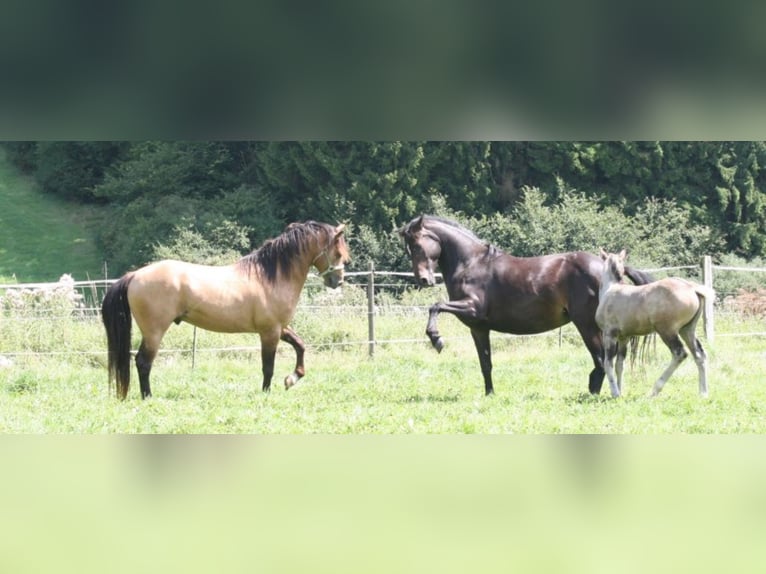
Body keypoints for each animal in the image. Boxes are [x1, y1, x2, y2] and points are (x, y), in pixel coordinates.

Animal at [102, 220, 352, 400]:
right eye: (339, 253)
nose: (337, 281)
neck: (270, 276)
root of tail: (134, 275)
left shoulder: (280, 328)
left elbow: (300, 346)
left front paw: (292, 378)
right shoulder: (269, 332)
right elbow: (268, 367)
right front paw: (267, 392)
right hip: (154, 332)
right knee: (143, 363)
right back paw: (148, 397)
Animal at [400, 216, 656, 396]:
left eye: (418, 245)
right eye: (409, 247)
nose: (423, 280)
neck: (471, 263)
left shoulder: (471, 307)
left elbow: (435, 306)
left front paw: (436, 339)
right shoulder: (479, 328)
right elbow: (486, 363)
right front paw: (490, 394)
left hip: (587, 325)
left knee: (602, 361)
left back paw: (594, 392)